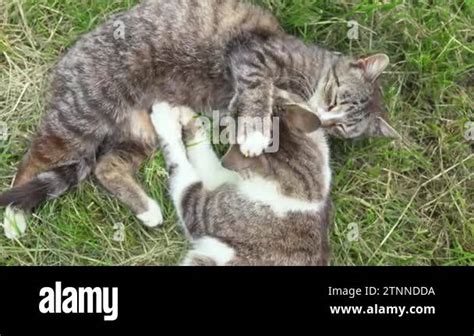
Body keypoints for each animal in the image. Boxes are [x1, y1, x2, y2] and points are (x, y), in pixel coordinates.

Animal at [0, 1, 394, 240]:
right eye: (335, 98)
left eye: (339, 126)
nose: (321, 120)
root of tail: (67, 62)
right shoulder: (252, 54)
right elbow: (259, 88)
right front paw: (257, 130)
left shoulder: (231, 103)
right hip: (83, 113)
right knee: (34, 158)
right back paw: (15, 215)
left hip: (139, 131)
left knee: (106, 166)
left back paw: (148, 210)